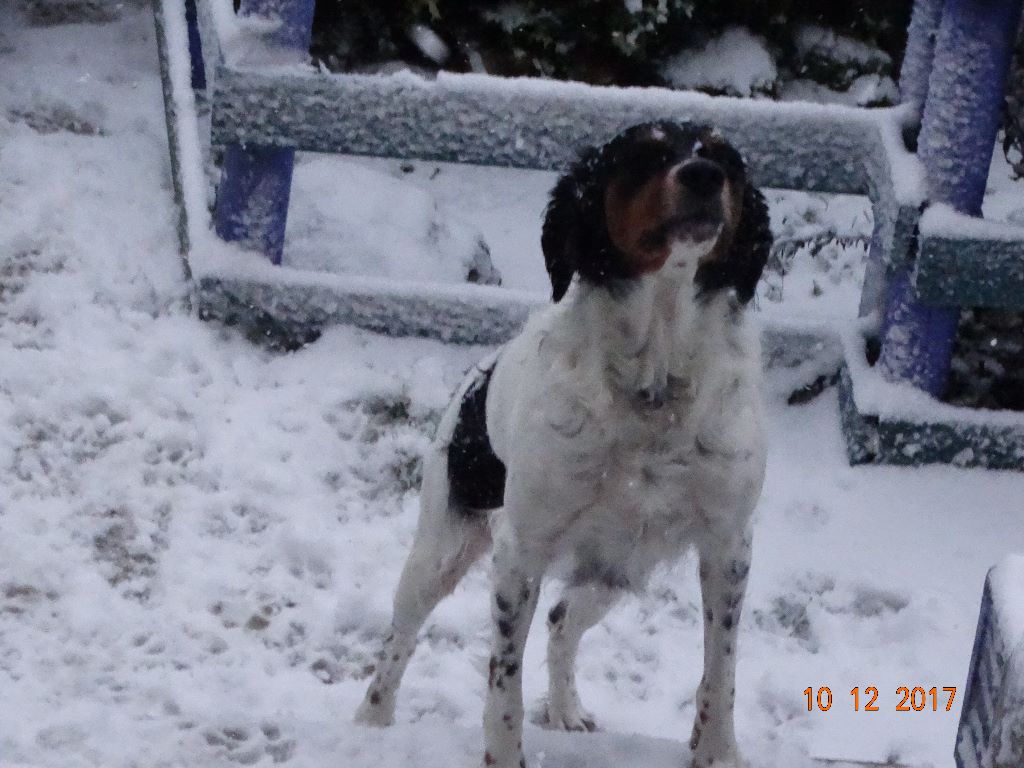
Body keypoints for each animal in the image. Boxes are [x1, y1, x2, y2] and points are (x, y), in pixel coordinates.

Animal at [356, 121, 770, 768]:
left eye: (724, 158)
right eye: (645, 154)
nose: (704, 177)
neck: (654, 381)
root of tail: (472, 380)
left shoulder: (728, 546)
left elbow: (719, 674)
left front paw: (717, 753)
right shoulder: (519, 550)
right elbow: (503, 684)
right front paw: (504, 757)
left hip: (616, 567)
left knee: (559, 619)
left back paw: (567, 709)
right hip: (441, 549)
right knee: (399, 636)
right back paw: (370, 725)